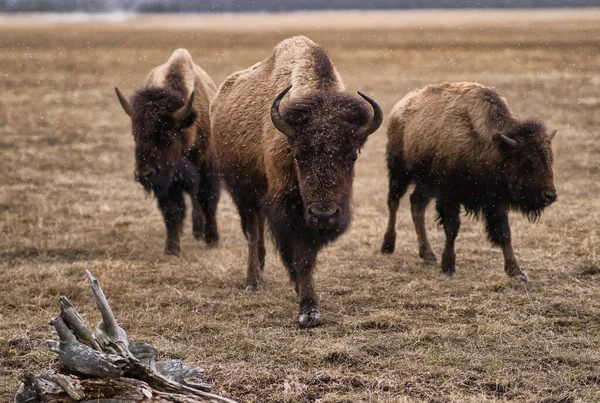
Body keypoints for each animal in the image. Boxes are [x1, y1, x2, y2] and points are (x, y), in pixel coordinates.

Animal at [115, 49, 220, 256]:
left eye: (166, 135)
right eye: (135, 135)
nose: (143, 174)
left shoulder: (208, 170)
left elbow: (208, 201)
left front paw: (212, 239)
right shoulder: (166, 183)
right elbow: (172, 210)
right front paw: (171, 249)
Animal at [209, 36, 382, 328]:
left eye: (353, 155)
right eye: (299, 155)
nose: (324, 214)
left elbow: (306, 256)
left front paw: (304, 296)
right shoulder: (289, 209)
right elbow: (301, 256)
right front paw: (308, 311)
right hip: (242, 192)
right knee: (252, 231)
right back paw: (253, 280)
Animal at [382, 82, 560, 282]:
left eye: (550, 159)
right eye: (526, 162)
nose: (550, 195)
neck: (491, 146)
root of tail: (399, 108)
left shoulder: (496, 201)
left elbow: (504, 232)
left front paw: (517, 272)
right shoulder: (449, 196)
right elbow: (452, 228)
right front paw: (449, 267)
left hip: (424, 183)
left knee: (416, 205)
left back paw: (428, 254)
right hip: (399, 172)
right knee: (394, 202)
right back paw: (388, 245)